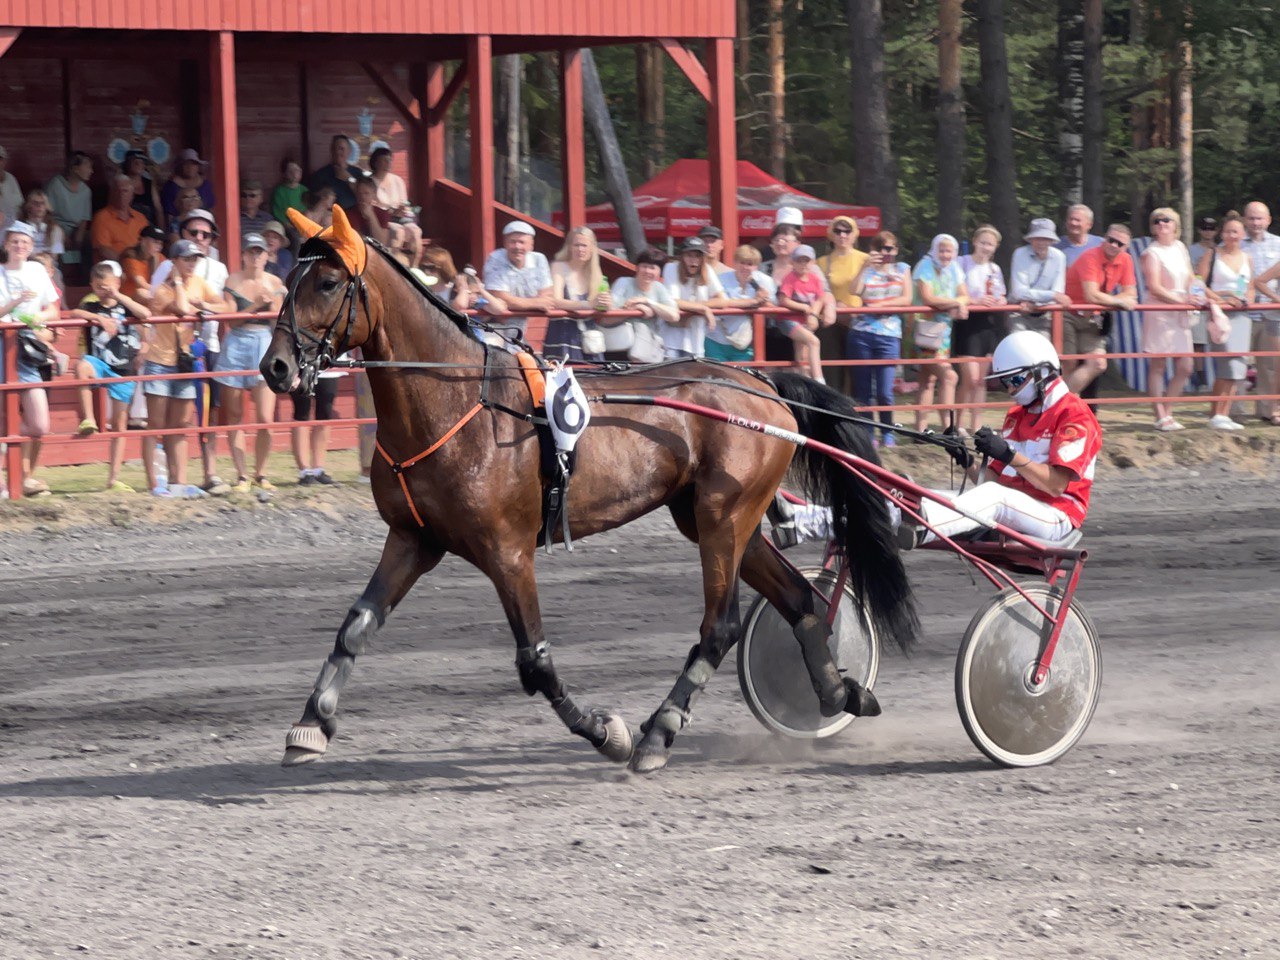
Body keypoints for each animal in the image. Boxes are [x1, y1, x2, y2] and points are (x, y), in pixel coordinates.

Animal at [262, 207, 921, 778]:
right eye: (288, 279)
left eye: (327, 282)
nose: (275, 368)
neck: (458, 400)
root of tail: (764, 386)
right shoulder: (413, 539)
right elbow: (355, 626)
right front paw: (311, 725)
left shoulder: (508, 551)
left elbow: (535, 662)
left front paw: (607, 732)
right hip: (720, 519)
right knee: (801, 599)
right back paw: (839, 691)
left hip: (723, 517)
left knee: (722, 626)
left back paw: (659, 732)